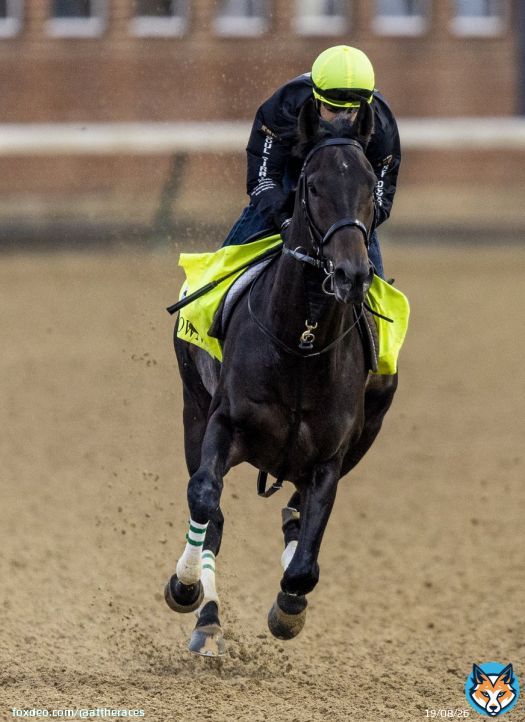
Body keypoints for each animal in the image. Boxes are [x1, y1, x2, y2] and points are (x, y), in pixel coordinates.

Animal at [165, 98, 398, 656]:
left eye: (368, 185)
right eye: (311, 185)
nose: (352, 273)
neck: (302, 342)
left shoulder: (330, 457)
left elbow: (304, 565)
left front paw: (289, 607)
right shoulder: (224, 423)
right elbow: (204, 497)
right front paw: (184, 586)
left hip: (369, 427)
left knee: (293, 513)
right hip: (191, 405)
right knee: (213, 515)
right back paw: (206, 618)